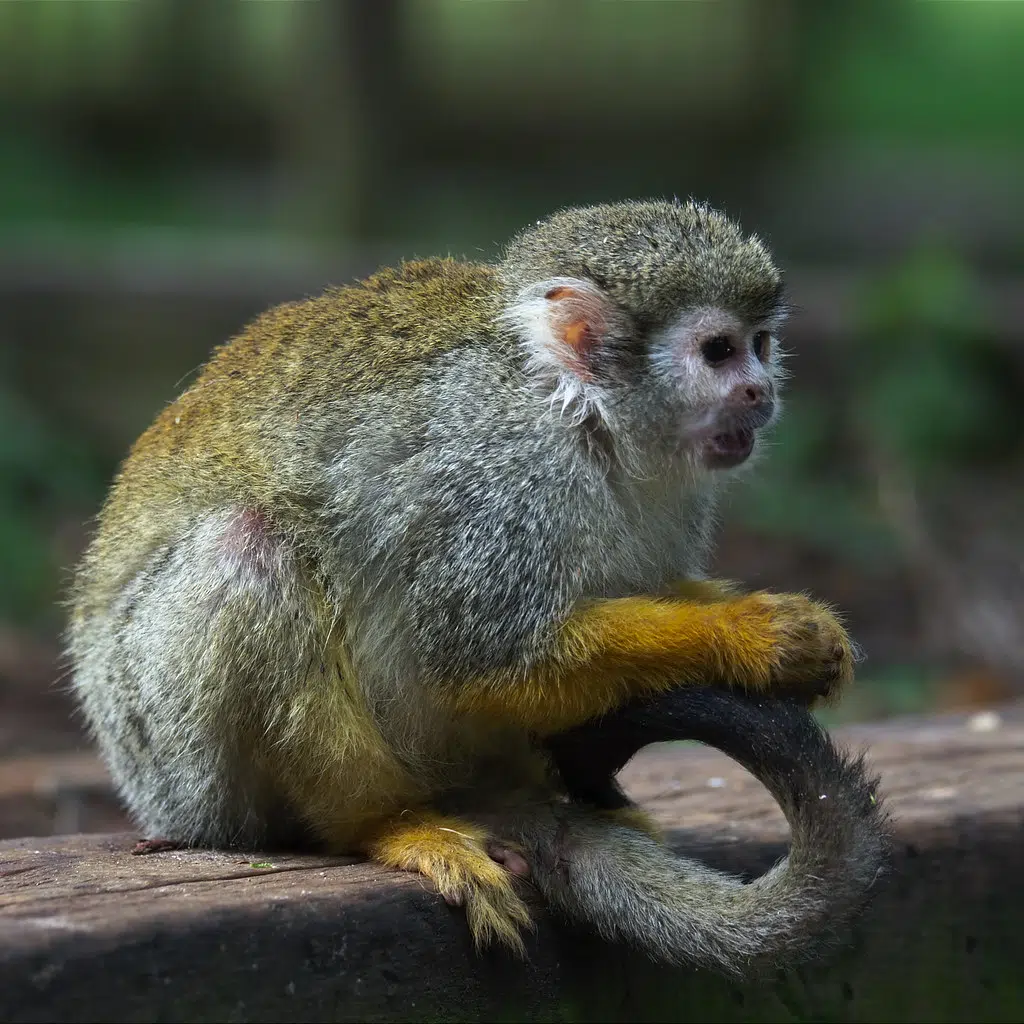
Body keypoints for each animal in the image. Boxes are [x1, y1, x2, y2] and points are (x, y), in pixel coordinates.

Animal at [68, 199, 884, 974]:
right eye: (718, 352)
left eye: (761, 344)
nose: (759, 390)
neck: (580, 414)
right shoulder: (499, 475)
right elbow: (485, 656)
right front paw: (753, 635)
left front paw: (799, 625)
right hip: (178, 761)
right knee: (248, 548)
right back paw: (385, 825)